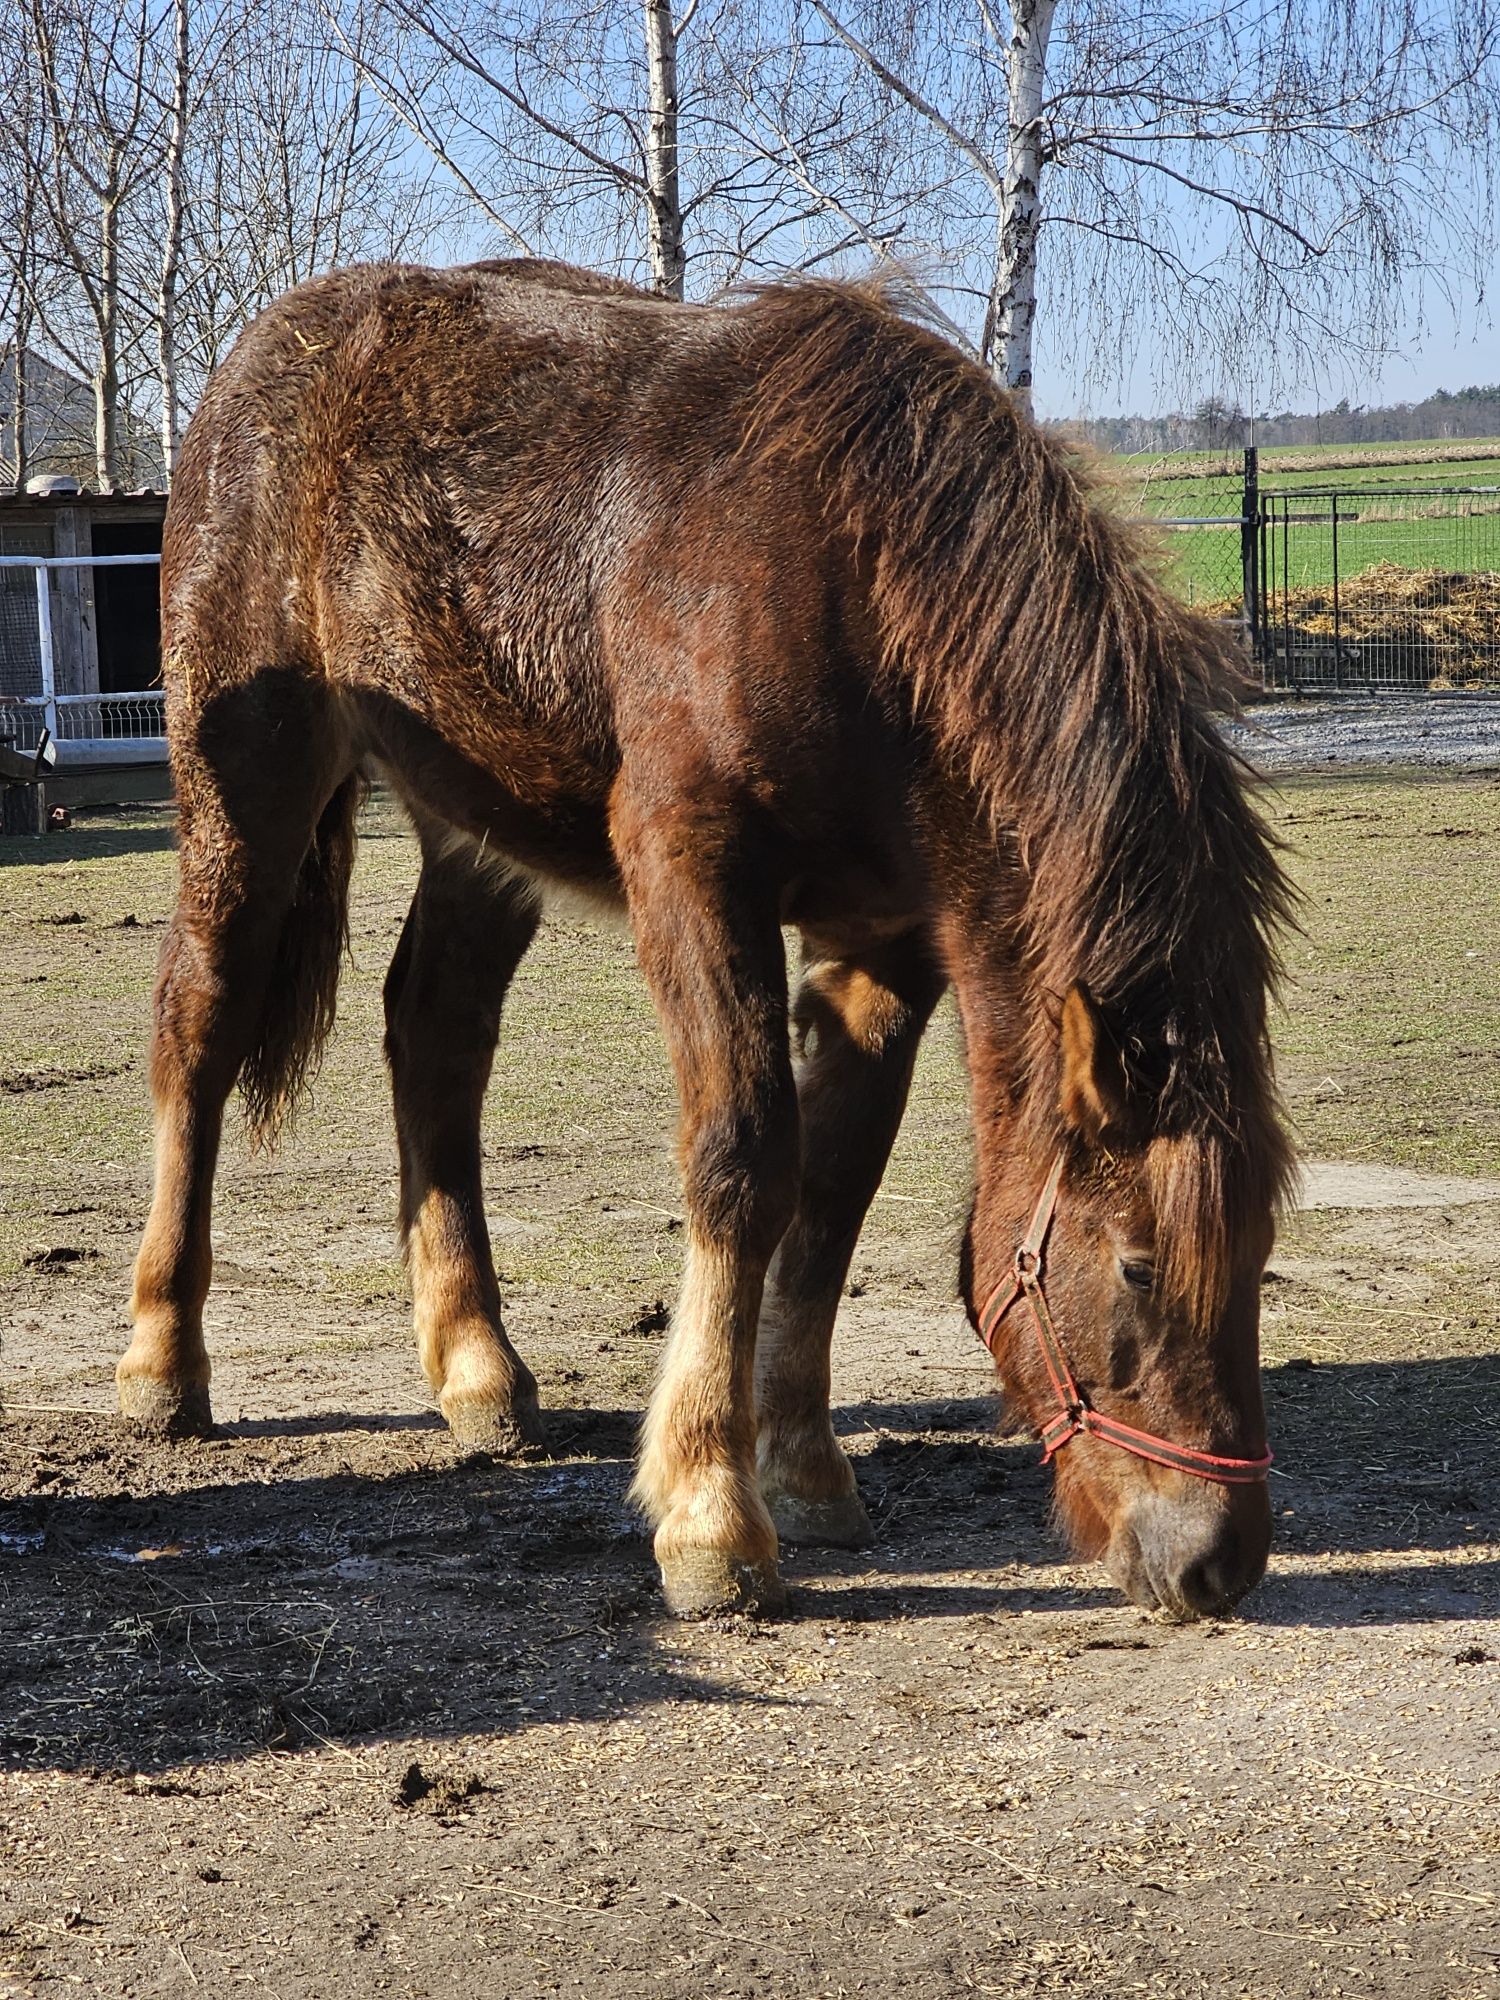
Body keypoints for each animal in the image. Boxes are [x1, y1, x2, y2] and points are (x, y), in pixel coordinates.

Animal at [120, 254, 1296, 1624]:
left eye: (1260, 1250)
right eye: (1141, 1266)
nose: (1218, 1559)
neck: (854, 576)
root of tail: (266, 353)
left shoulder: (889, 944)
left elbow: (831, 1189)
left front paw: (802, 1464)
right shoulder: (690, 865)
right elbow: (744, 1160)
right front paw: (710, 1511)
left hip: (482, 829)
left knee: (437, 1036)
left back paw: (477, 1367)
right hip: (246, 797)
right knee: (197, 1030)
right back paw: (161, 1359)